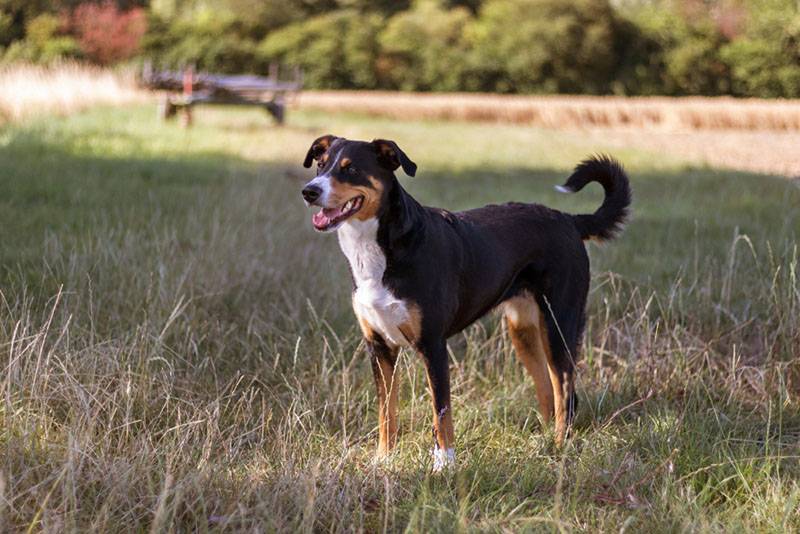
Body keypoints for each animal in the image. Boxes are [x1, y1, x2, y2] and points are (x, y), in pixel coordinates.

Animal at [300, 136, 632, 472]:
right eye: (320, 165)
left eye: (351, 168)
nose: (309, 191)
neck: (381, 250)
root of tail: (568, 220)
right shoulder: (379, 347)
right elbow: (386, 412)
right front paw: (383, 459)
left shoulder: (433, 345)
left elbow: (441, 411)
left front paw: (444, 465)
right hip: (523, 330)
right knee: (547, 388)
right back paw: (544, 444)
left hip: (558, 325)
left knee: (565, 390)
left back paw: (560, 445)